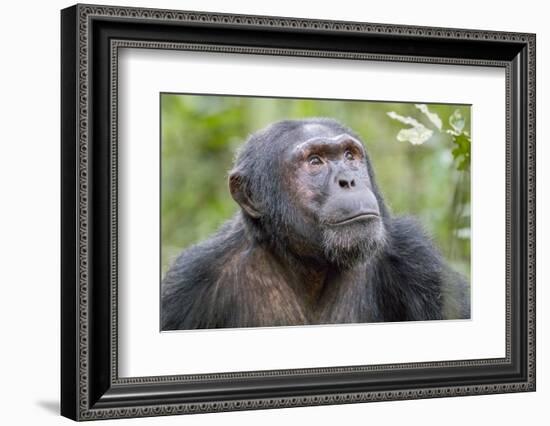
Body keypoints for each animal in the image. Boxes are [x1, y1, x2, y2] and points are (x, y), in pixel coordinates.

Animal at [162, 118, 472, 332]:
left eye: (349, 156)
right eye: (315, 161)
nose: (348, 180)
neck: (311, 265)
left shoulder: (419, 261)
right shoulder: (188, 282)